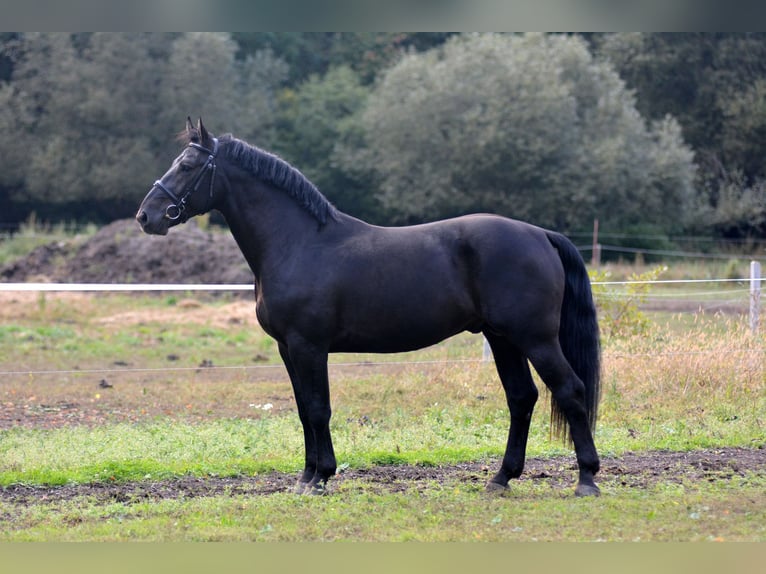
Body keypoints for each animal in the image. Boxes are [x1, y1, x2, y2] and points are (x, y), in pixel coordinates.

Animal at [140, 119, 608, 498]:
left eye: (187, 165)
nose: (146, 216)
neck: (299, 243)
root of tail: (540, 234)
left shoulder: (309, 346)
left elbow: (318, 408)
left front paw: (320, 478)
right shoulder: (287, 349)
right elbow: (303, 410)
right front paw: (305, 478)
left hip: (535, 338)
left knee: (570, 390)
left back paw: (586, 479)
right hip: (503, 338)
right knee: (521, 397)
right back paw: (501, 478)